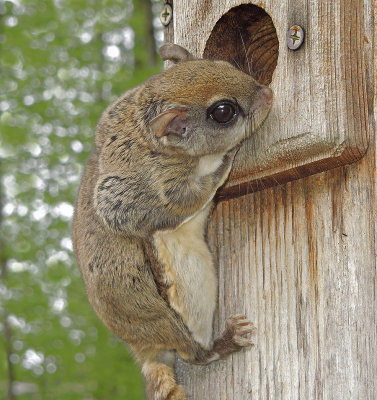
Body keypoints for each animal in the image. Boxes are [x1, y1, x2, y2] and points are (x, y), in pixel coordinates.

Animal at [73, 43, 272, 400]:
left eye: (222, 63)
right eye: (223, 112)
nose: (268, 92)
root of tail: (144, 349)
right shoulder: (146, 190)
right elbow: (188, 196)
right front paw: (226, 161)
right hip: (175, 308)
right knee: (194, 354)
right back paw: (224, 342)